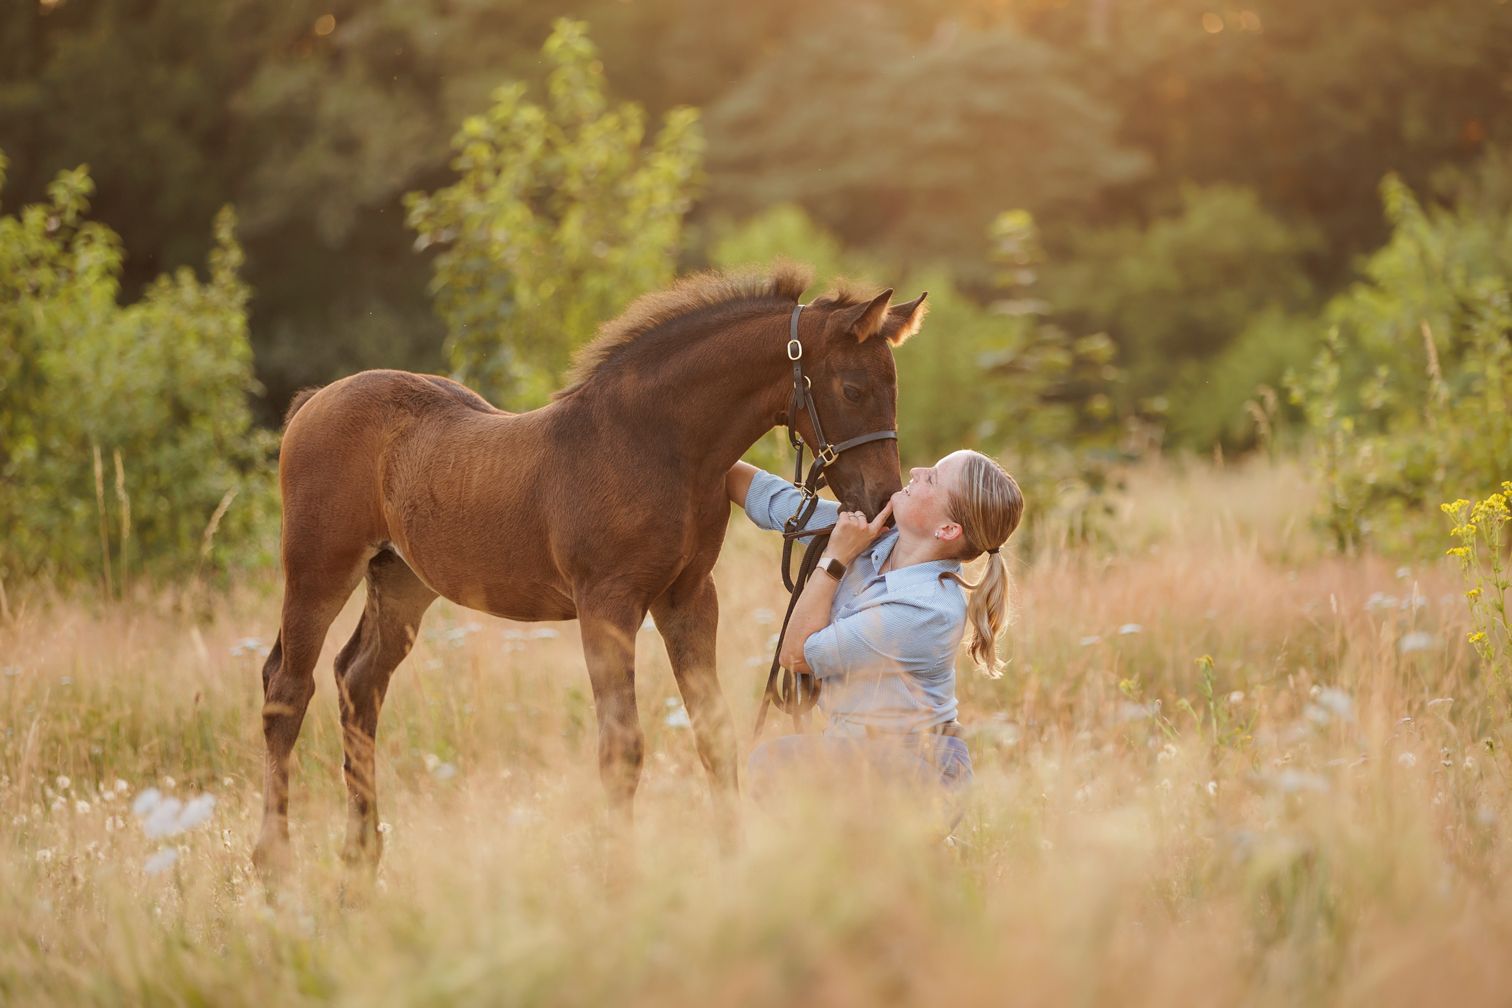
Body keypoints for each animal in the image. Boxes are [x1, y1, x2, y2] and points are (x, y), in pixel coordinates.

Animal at [252, 263, 928, 875]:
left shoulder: (689, 597)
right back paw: (275, 864)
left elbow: (713, 731)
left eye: (896, 388)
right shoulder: (607, 603)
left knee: (358, 679)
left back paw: (361, 856)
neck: (653, 444)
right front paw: (618, 879)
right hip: (317, 569)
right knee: (287, 689)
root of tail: (314, 401)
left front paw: (732, 860)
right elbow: (621, 749)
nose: (883, 501)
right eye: (852, 389)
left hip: (401, 581)